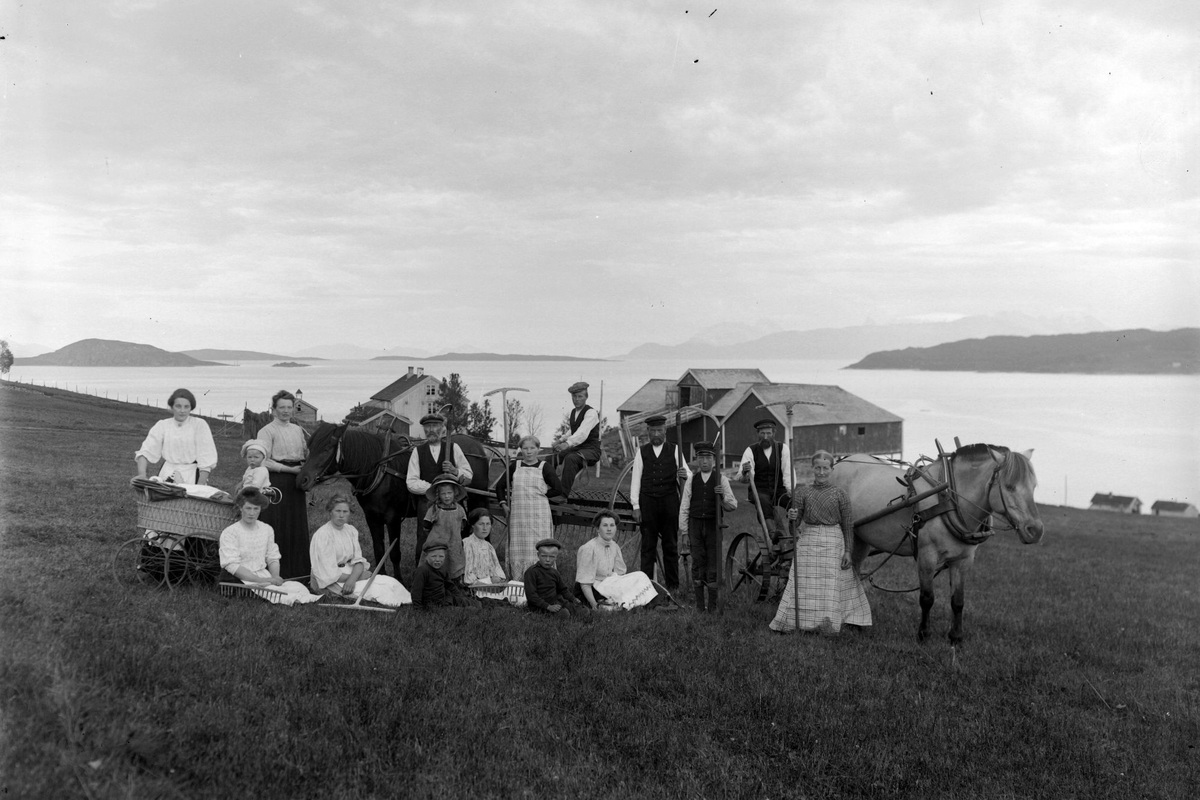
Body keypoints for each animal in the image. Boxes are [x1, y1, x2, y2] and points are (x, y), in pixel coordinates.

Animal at [297, 422, 494, 578]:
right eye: (310, 446)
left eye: (326, 448)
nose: (302, 479)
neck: (380, 472)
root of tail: (478, 446)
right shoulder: (372, 517)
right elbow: (379, 549)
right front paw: (381, 577)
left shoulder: (393, 518)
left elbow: (395, 553)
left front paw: (399, 580)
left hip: (478, 499)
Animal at [835, 443, 1041, 642]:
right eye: (1009, 486)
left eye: (1034, 486)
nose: (1036, 530)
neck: (950, 500)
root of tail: (841, 462)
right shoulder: (927, 556)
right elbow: (927, 598)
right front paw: (923, 634)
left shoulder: (963, 560)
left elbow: (958, 601)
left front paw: (955, 638)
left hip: (861, 538)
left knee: (854, 571)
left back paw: (854, 621)